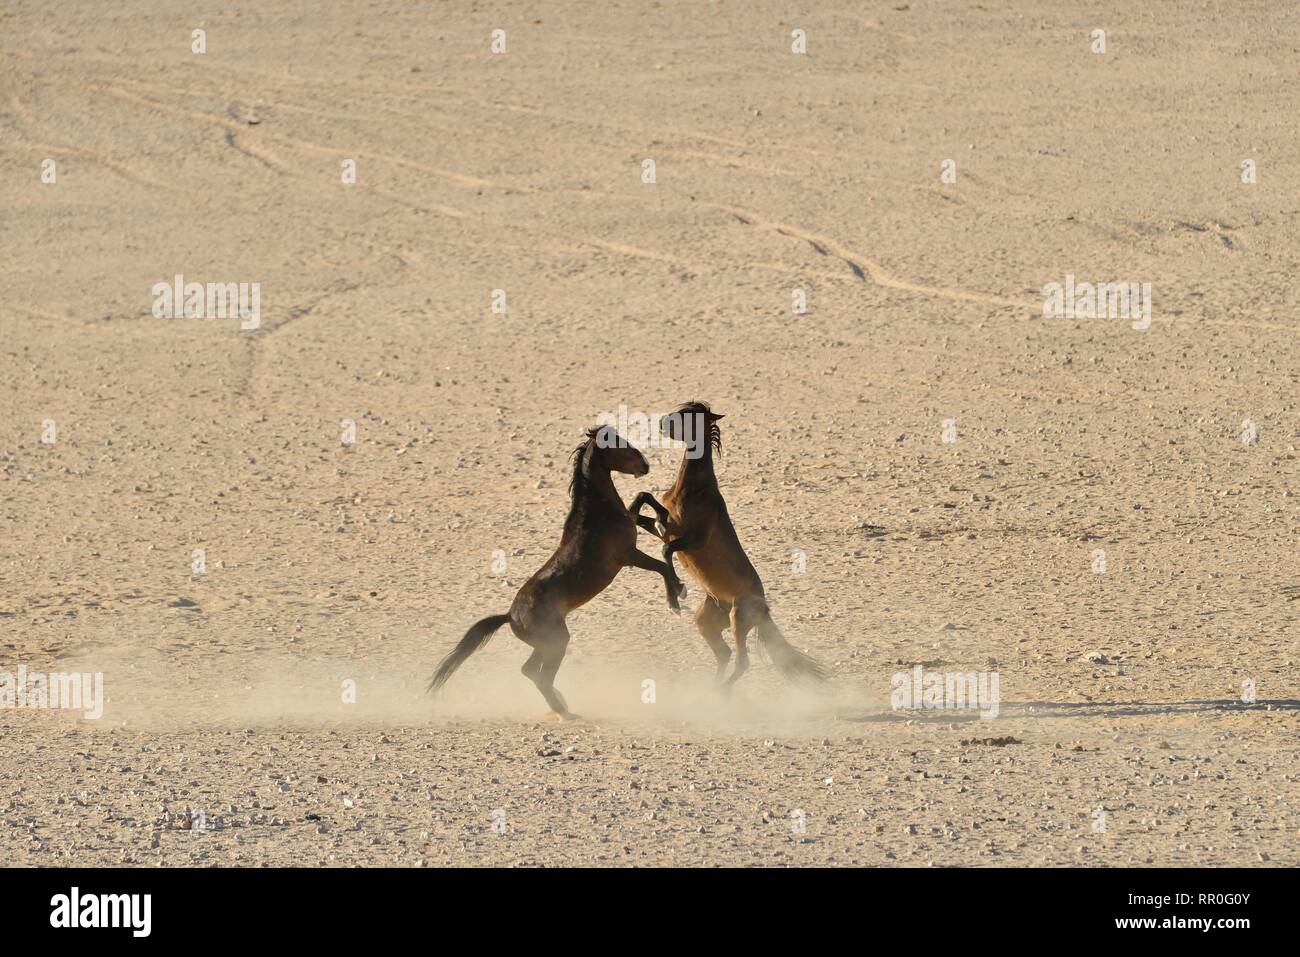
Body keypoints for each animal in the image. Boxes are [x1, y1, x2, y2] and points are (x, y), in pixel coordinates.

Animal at [428, 421, 691, 722]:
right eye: (615, 443)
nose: (644, 464)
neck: (597, 513)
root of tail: (509, 616)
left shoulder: (630, 526)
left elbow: (643, 496)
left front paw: (662, 521)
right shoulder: (628, 556)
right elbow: (661, 566)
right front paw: (675, 599)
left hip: (546, 646)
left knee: (530, 671)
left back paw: (561, 705)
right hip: (557, 643)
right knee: (540, 676)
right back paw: (566, 713)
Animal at [626, 400, 821, 691]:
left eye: (690, 415)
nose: (662, 423)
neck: (693, 489)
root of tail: (764, 609)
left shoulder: (693, 539)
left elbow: (666, 550)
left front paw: (677, 595)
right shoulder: (670, 532)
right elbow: (646, 506)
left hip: (738, 621)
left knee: (742, 661)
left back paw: (721, 693)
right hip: (706, 621)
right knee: (725, 654)